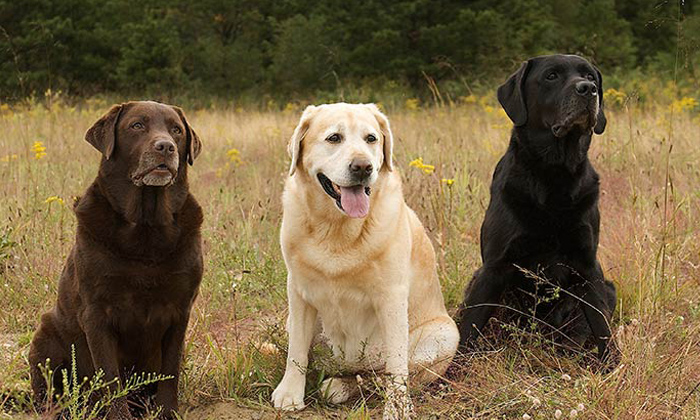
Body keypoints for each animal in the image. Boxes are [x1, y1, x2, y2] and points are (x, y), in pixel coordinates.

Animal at [460, 54, 616, 360]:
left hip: (608, 288)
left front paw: (613, 366)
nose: (588, 90)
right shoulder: (493, 268)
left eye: (590, 76)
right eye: (551, 76)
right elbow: (466, 330)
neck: (554, 175)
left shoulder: (588, 267)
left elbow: (601, 326)